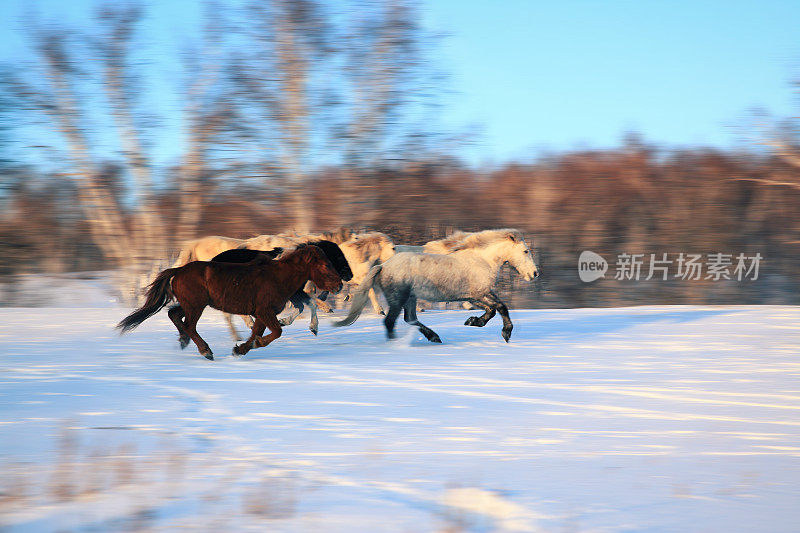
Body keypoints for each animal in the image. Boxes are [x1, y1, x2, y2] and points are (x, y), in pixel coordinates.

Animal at [117, 247, 342, 360]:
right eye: (325, 265)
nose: (339, 285)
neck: (278, 277)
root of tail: (179, 270)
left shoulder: (261, 314)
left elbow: (256, 332)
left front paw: (240, 349)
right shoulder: (265, 311)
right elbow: (276, 332)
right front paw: (252, 345)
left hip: (191, 304)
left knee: (174, 315)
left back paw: (184, 341)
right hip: (196, 306)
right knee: (189, 325)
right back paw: (205, 351)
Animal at [332, 228, 536, 342]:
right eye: (525, 251)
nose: (534, 274)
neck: (481, 260)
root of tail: (383, 265)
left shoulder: (474, 296)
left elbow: (492, 310)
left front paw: (472, 321)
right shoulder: (479, 294)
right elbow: (501, 307)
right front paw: (506, 333)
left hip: (410, 298)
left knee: (410, 318)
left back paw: (434, 337)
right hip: (398, 298)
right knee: (390, 321)